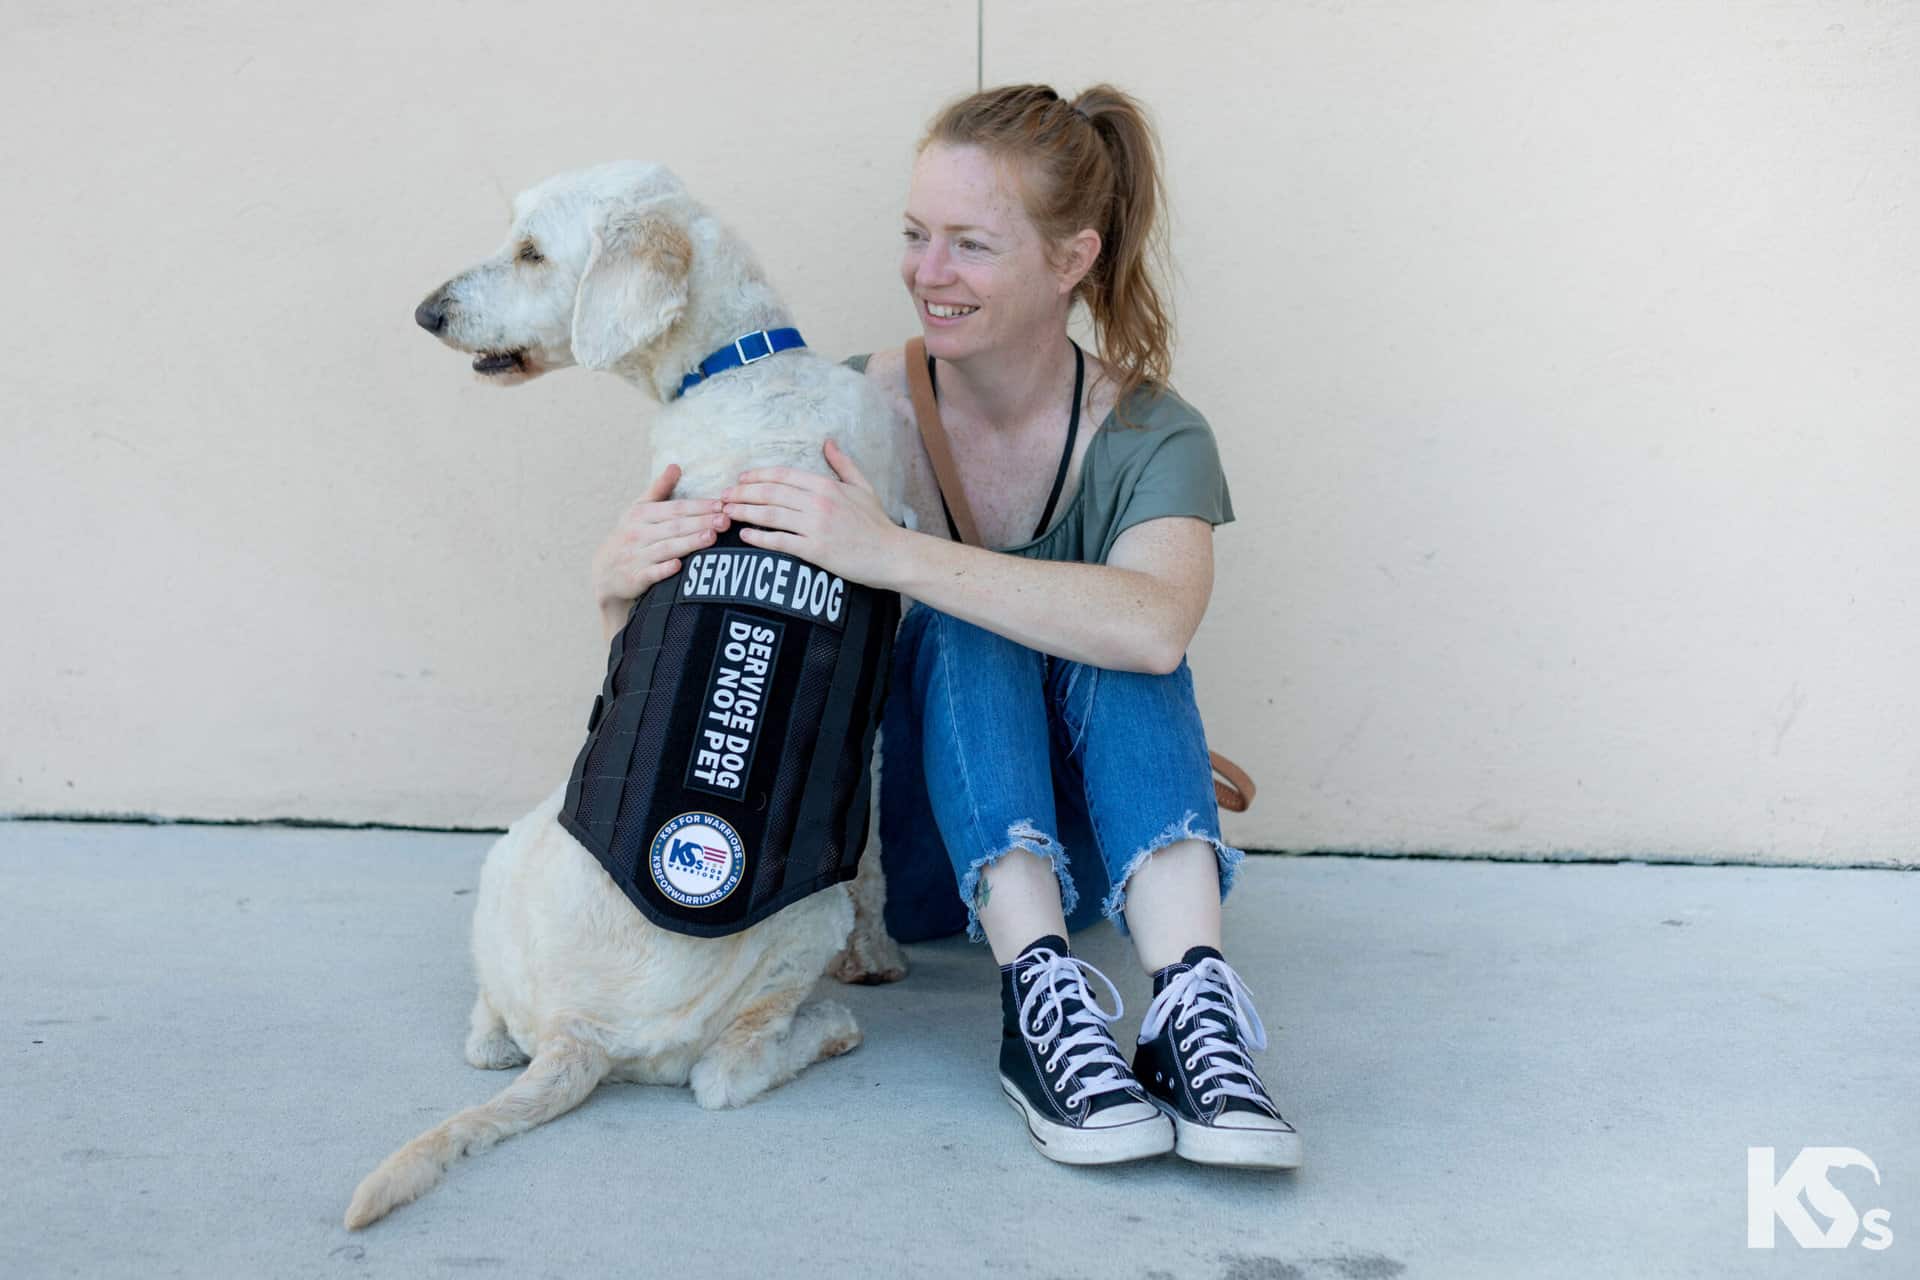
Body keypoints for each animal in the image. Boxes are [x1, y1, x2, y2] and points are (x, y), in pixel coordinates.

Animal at [355, 160, 921, 1228]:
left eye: (533, 251)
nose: (426, 313)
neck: (739, 365)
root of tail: (581, 1032)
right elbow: (872, 861)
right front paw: (881, 958)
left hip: (507, 854)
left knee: (489, 1036)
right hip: (796, 925)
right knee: (726, 1076)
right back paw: (830, 1026)